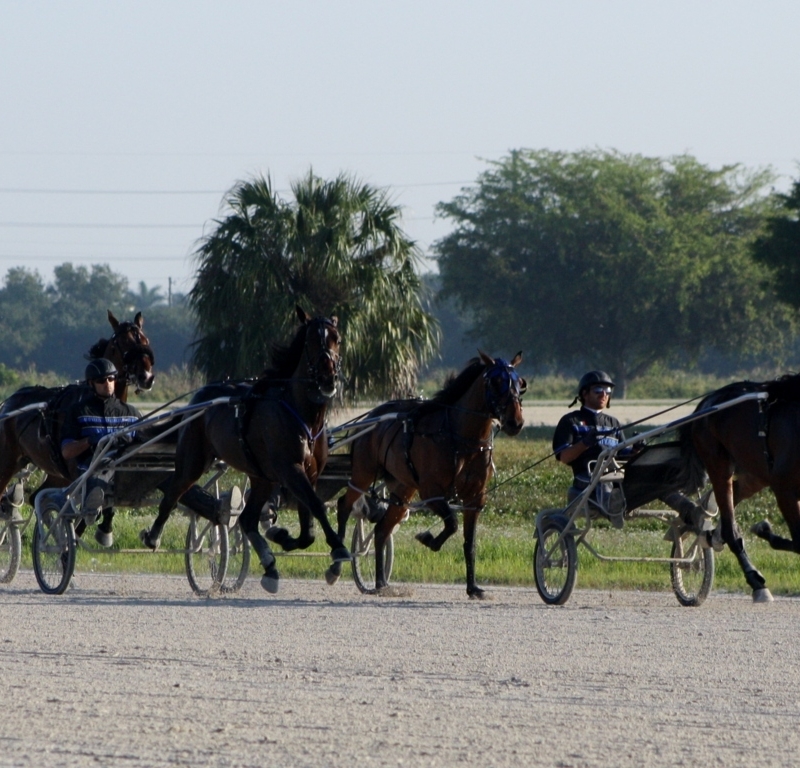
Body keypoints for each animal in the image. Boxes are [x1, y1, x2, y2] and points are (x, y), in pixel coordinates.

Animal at [0, 310, 156, 504]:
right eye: (124, 341)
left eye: (145, 340)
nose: (146, 377)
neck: (101, 401)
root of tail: (7, 403)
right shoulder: (78, 474)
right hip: (7, 462)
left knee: (37, 496)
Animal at [140, 306, 350, 592]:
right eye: (310, 341)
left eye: (336, 338)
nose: (328, 377)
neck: (303, 415)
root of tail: (197, 399)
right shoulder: (291, 470)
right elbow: (316, 506)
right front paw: (339, 551)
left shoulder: (310, 473)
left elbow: (307, 529)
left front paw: (284, 537)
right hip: (193, 460)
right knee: (174, 492)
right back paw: (152, 537)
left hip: (261, 477)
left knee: (247, 518)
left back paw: (270, 566)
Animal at [324, 354, 524, 600]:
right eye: (496, 382)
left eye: (520, 383)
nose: (516, 422)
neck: (461, 438)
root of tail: (372, 417)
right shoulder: (432, 492)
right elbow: (452, 523)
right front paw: (428, 539)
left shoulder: (475, 498)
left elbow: (470, 543)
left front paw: (473, 588)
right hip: (363, 474)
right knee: (344, 505)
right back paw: (337, 566)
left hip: (403, 489)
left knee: (381, 529)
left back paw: (381, 583)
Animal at [680, 376, 800, 604]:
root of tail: (708, 401)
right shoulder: (785, 490)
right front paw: (764, 530)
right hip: (718, 462)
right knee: (730, 528)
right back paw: (756, 581)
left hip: (756, 473)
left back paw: (706, 524)